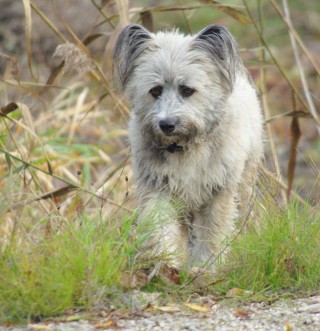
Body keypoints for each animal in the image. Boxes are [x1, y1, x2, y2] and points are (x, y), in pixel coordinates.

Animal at [114, 24, 264, 270]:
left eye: (186, 90)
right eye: (155, 90)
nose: (166, 124)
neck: (185, 147)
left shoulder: (217, 195)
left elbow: (211, 234)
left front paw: (204, 268)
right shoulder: (158, 188)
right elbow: (160, 227)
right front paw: (164, 261)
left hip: (244, 183)